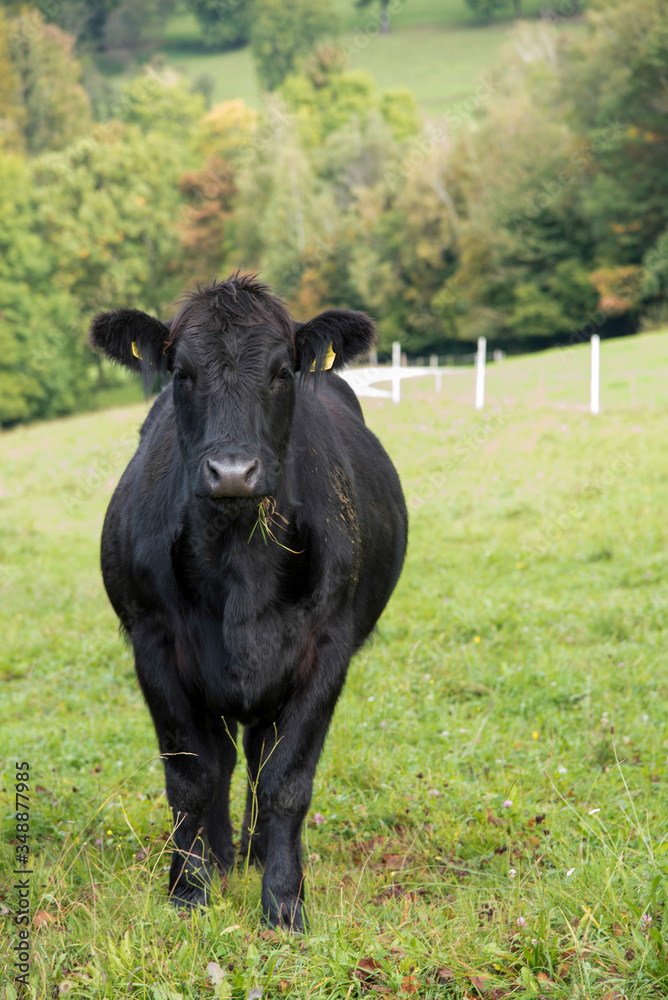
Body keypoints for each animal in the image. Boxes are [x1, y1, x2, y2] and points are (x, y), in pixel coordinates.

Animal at [90, 274, 408, 928]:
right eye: (182, 372)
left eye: (282, 370)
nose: (233, 471)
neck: (240, 562)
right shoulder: (154, 644)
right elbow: (191, 776)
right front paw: (188, 891)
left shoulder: (325, 649)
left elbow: (287, 780)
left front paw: (284, 904)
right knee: (225, 761)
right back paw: (221, 858)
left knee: (260, 759)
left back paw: (257, 854)